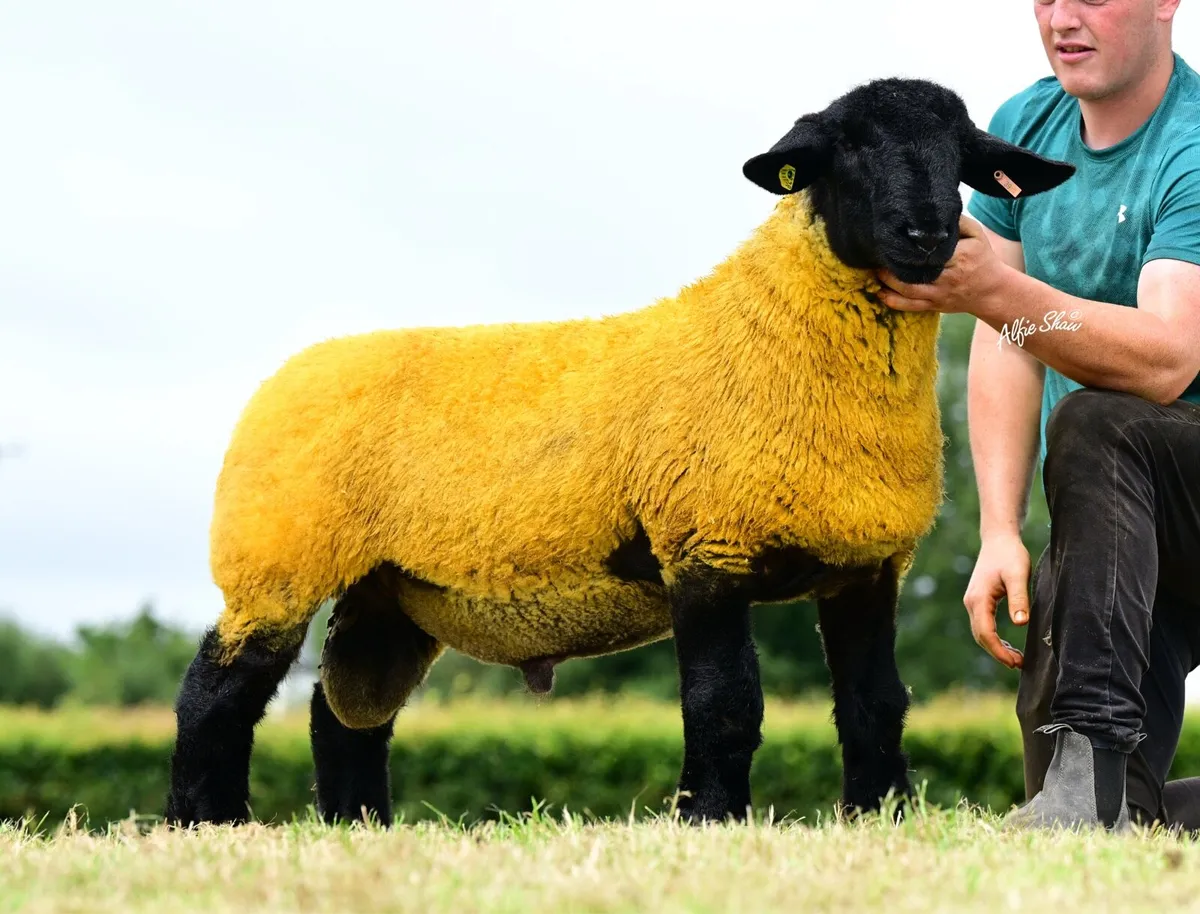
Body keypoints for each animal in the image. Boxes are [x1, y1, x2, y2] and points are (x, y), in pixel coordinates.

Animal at [164, 76, 1074, 828]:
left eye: (961, 155)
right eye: (846, 147)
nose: (927, 233)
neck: (769, 337)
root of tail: (286, 374)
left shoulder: (866, 566)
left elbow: (874, 703)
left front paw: (878, 815)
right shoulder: (704, 549)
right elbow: (723, 702)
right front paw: (711, 817)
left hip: (388, 591)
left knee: (342, 713)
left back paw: (358, 826)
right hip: (276, 559)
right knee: (214, 693)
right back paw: (207, 823)